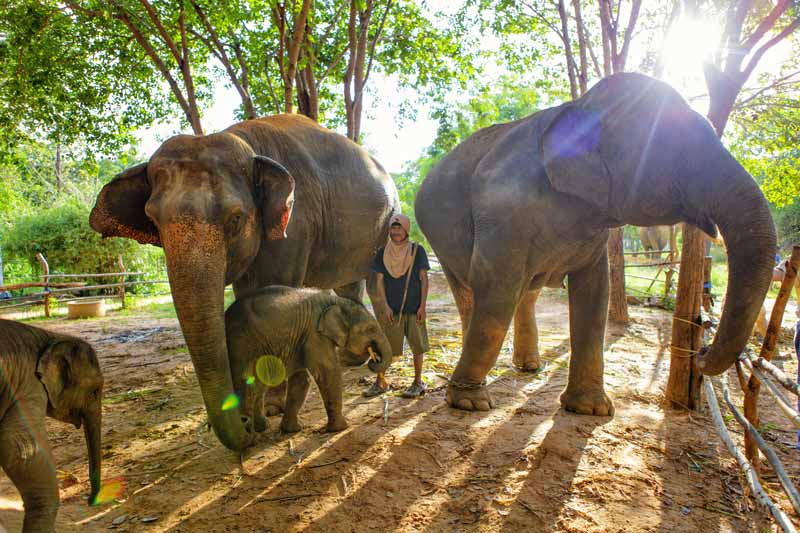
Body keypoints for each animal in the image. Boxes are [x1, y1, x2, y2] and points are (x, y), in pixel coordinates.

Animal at [225, 286, 394, 432]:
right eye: (370, 329)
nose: (374, 359)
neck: (335, 301)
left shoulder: (302, 339)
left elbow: (302, 378)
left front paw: (293, 430)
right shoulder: (315, 335)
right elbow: (328, 371)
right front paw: (340, 428)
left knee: (259, 385)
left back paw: (262, 427)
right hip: (242, 347)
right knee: (246, 384)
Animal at [416, 71, 780, 412]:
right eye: (674, 147)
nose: (701, 351)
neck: (577, 107)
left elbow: (594, 293)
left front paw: (590, 409)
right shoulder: (503, 207)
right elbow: (495, 286)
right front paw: (469, 403)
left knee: (526, 292)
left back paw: (530, 367)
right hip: (436, 235)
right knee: (473, 290)